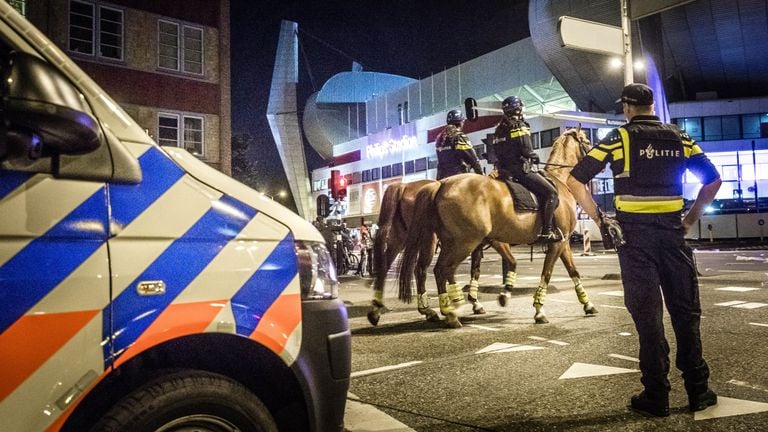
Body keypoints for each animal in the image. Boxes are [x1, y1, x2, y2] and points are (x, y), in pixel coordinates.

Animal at [368, 181, 520, 326]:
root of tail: (403, 186)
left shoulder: (476, 246)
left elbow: (475, 271)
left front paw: (474, 302)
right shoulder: (495, 241)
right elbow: (509, 261)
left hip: (400, 239)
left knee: (385, 267)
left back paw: (377, 309)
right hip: (429, 240)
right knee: (422, 270)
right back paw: (429, 310)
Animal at [396, 127, 600, 328]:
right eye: (586, 141)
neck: (559, 181)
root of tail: (441, 184)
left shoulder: (561, 242)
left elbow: (573, 272)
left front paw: (588, 304)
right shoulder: (553, 243)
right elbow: (545, 273)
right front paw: (538, 310)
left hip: (450, 243)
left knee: (431, 270)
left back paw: (440, 310)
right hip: (462, 243)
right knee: (440, 270)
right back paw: (449, 311)